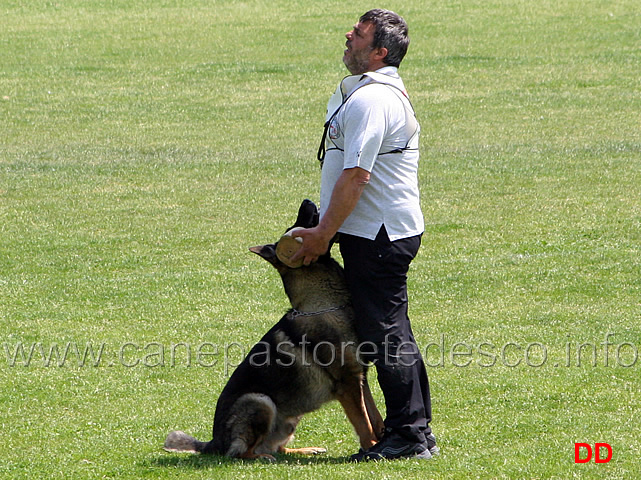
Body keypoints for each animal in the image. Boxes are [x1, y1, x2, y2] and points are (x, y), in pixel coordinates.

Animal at [166, 200, 384, 462]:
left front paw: (383, 439)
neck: (322, 303)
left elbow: (374, 416)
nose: (306, 202)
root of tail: (214, 442)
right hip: (261, 402)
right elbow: (363, 422)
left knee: (277, 447)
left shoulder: (360, 379)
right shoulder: (348, 384)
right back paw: (261, 457)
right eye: (295, 227)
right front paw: (372, 446)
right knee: (240, 453)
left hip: (292, 416)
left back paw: (303, 450)